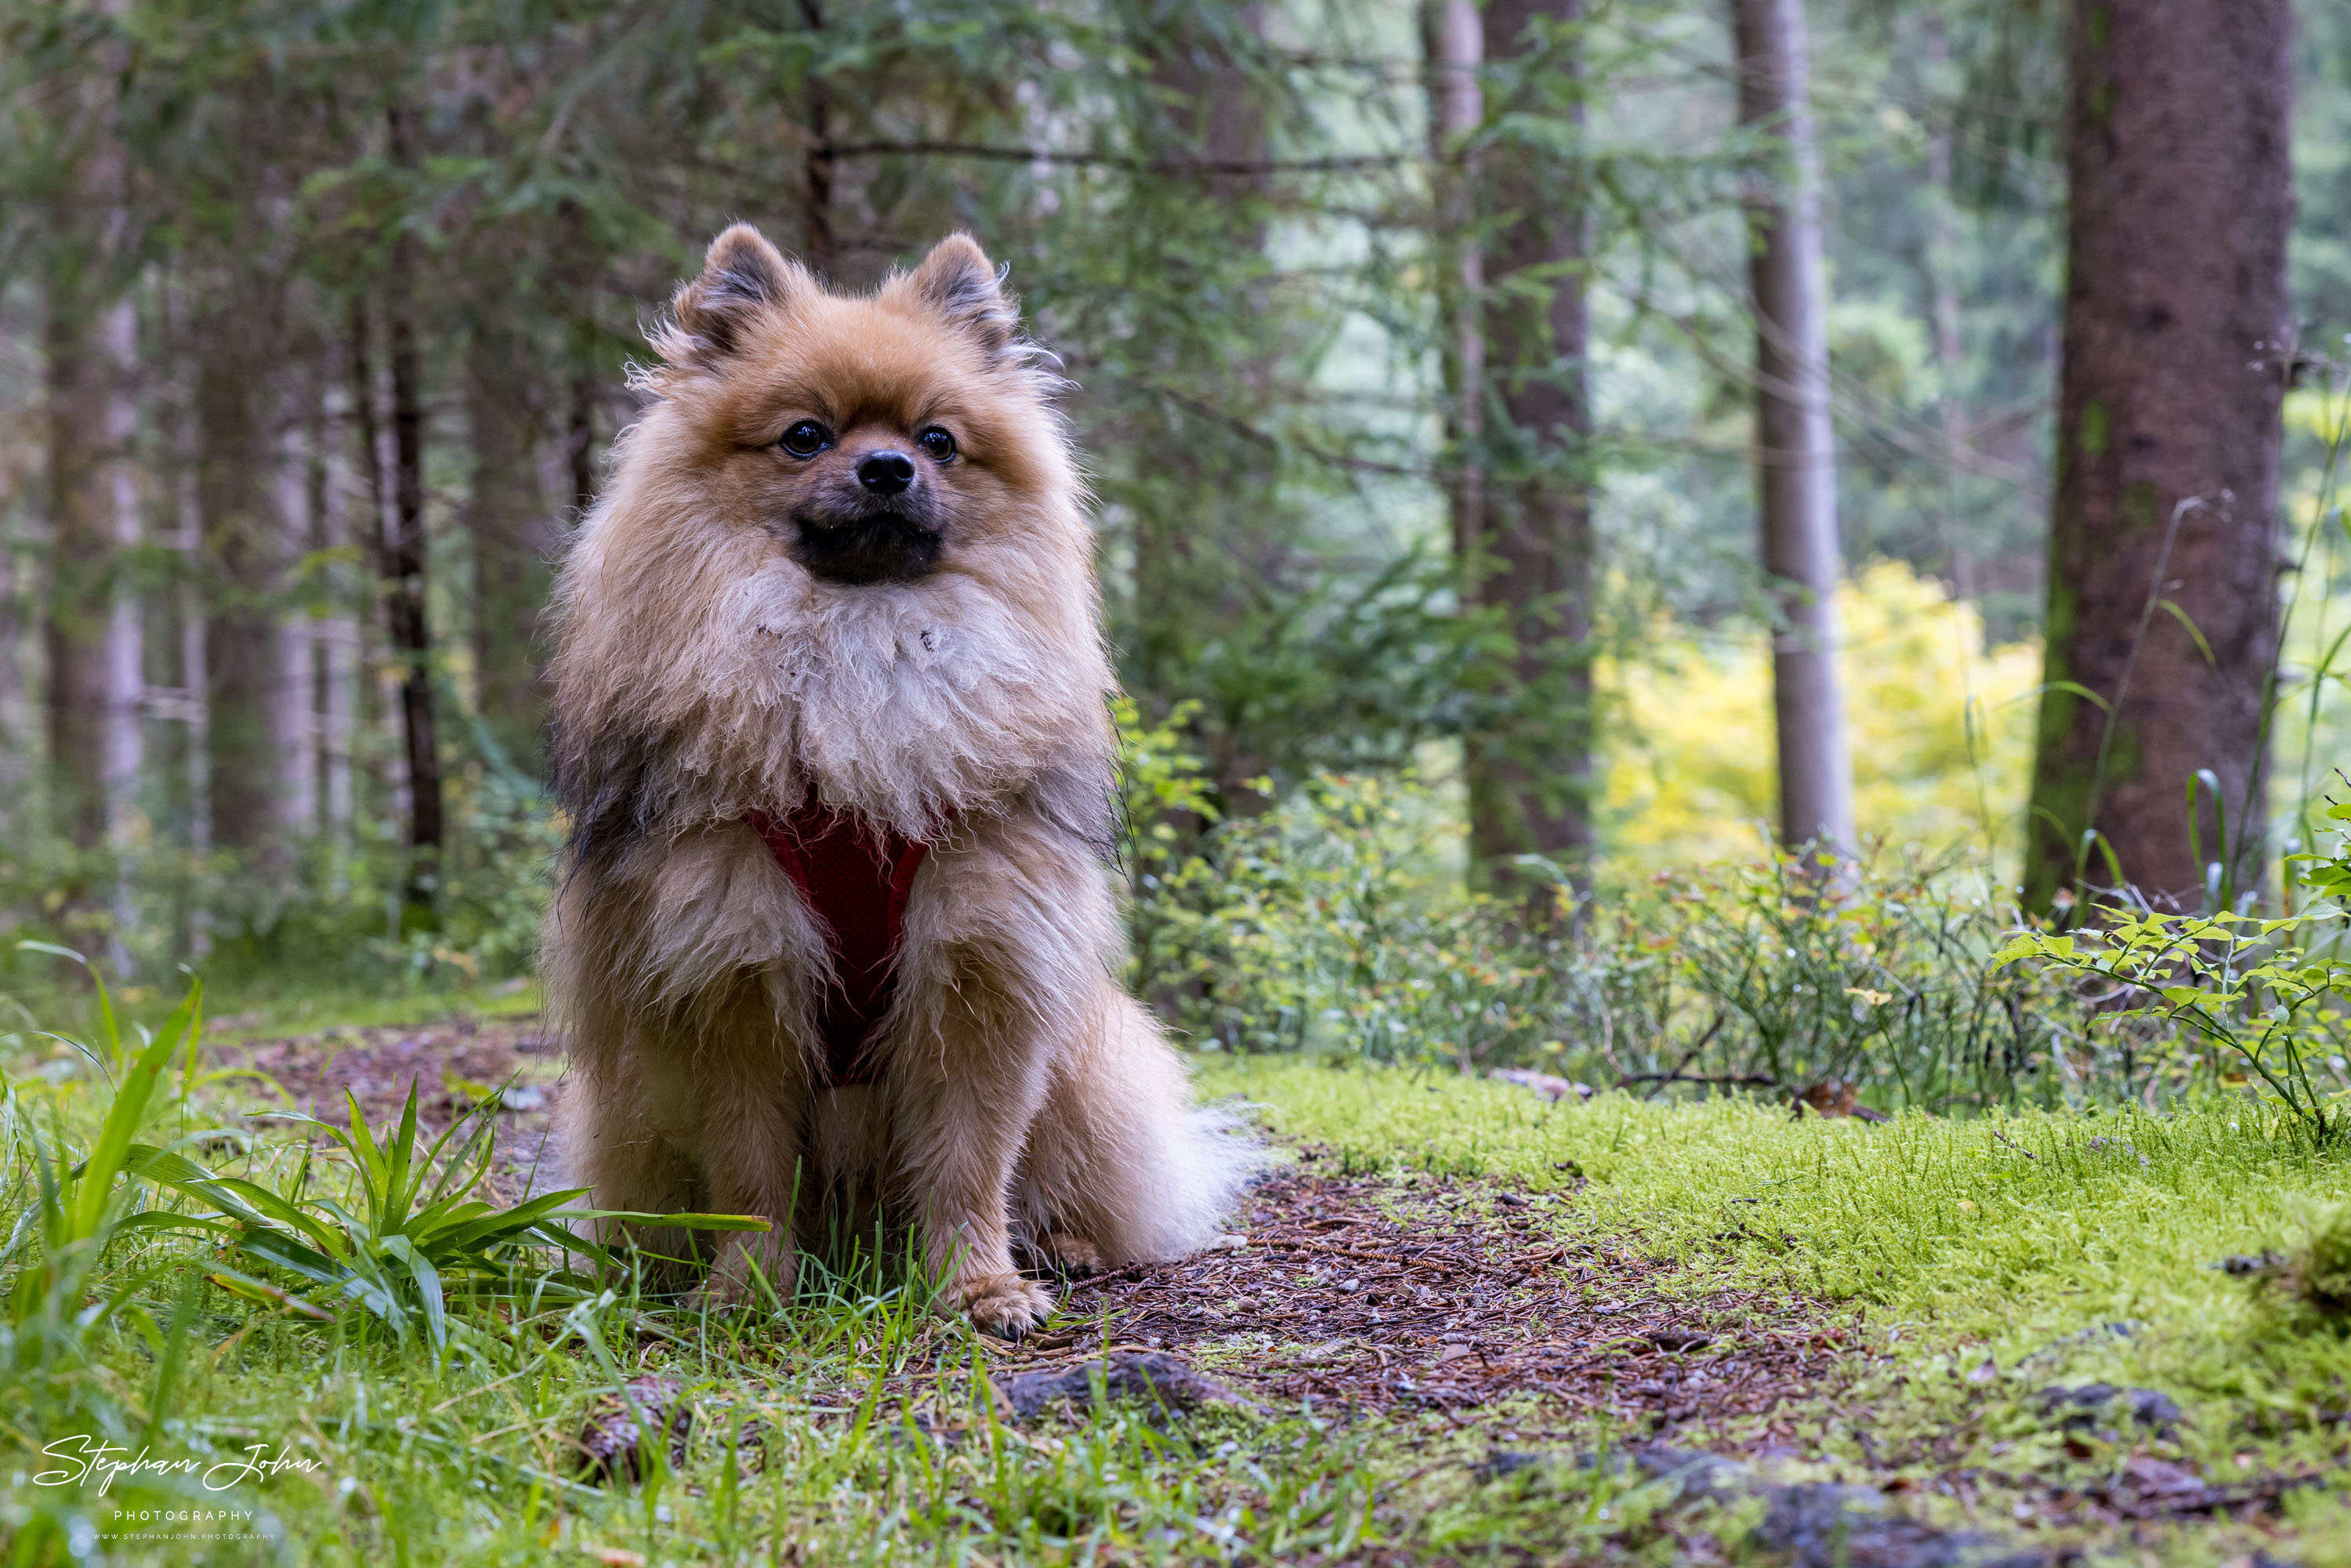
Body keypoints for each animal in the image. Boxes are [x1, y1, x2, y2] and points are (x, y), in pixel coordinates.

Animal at [541, 226, 1260, 1335]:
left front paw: (977, 1286)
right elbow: (748, 1173)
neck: (860, 651)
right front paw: (748, 1288)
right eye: (804, 437)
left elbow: (971, 1161)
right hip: (629, 1100)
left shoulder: (981, 962)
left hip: (1085, 1068)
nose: (886, 466)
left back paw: (1065, 1245)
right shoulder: (731, 972)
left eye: (937, 441)